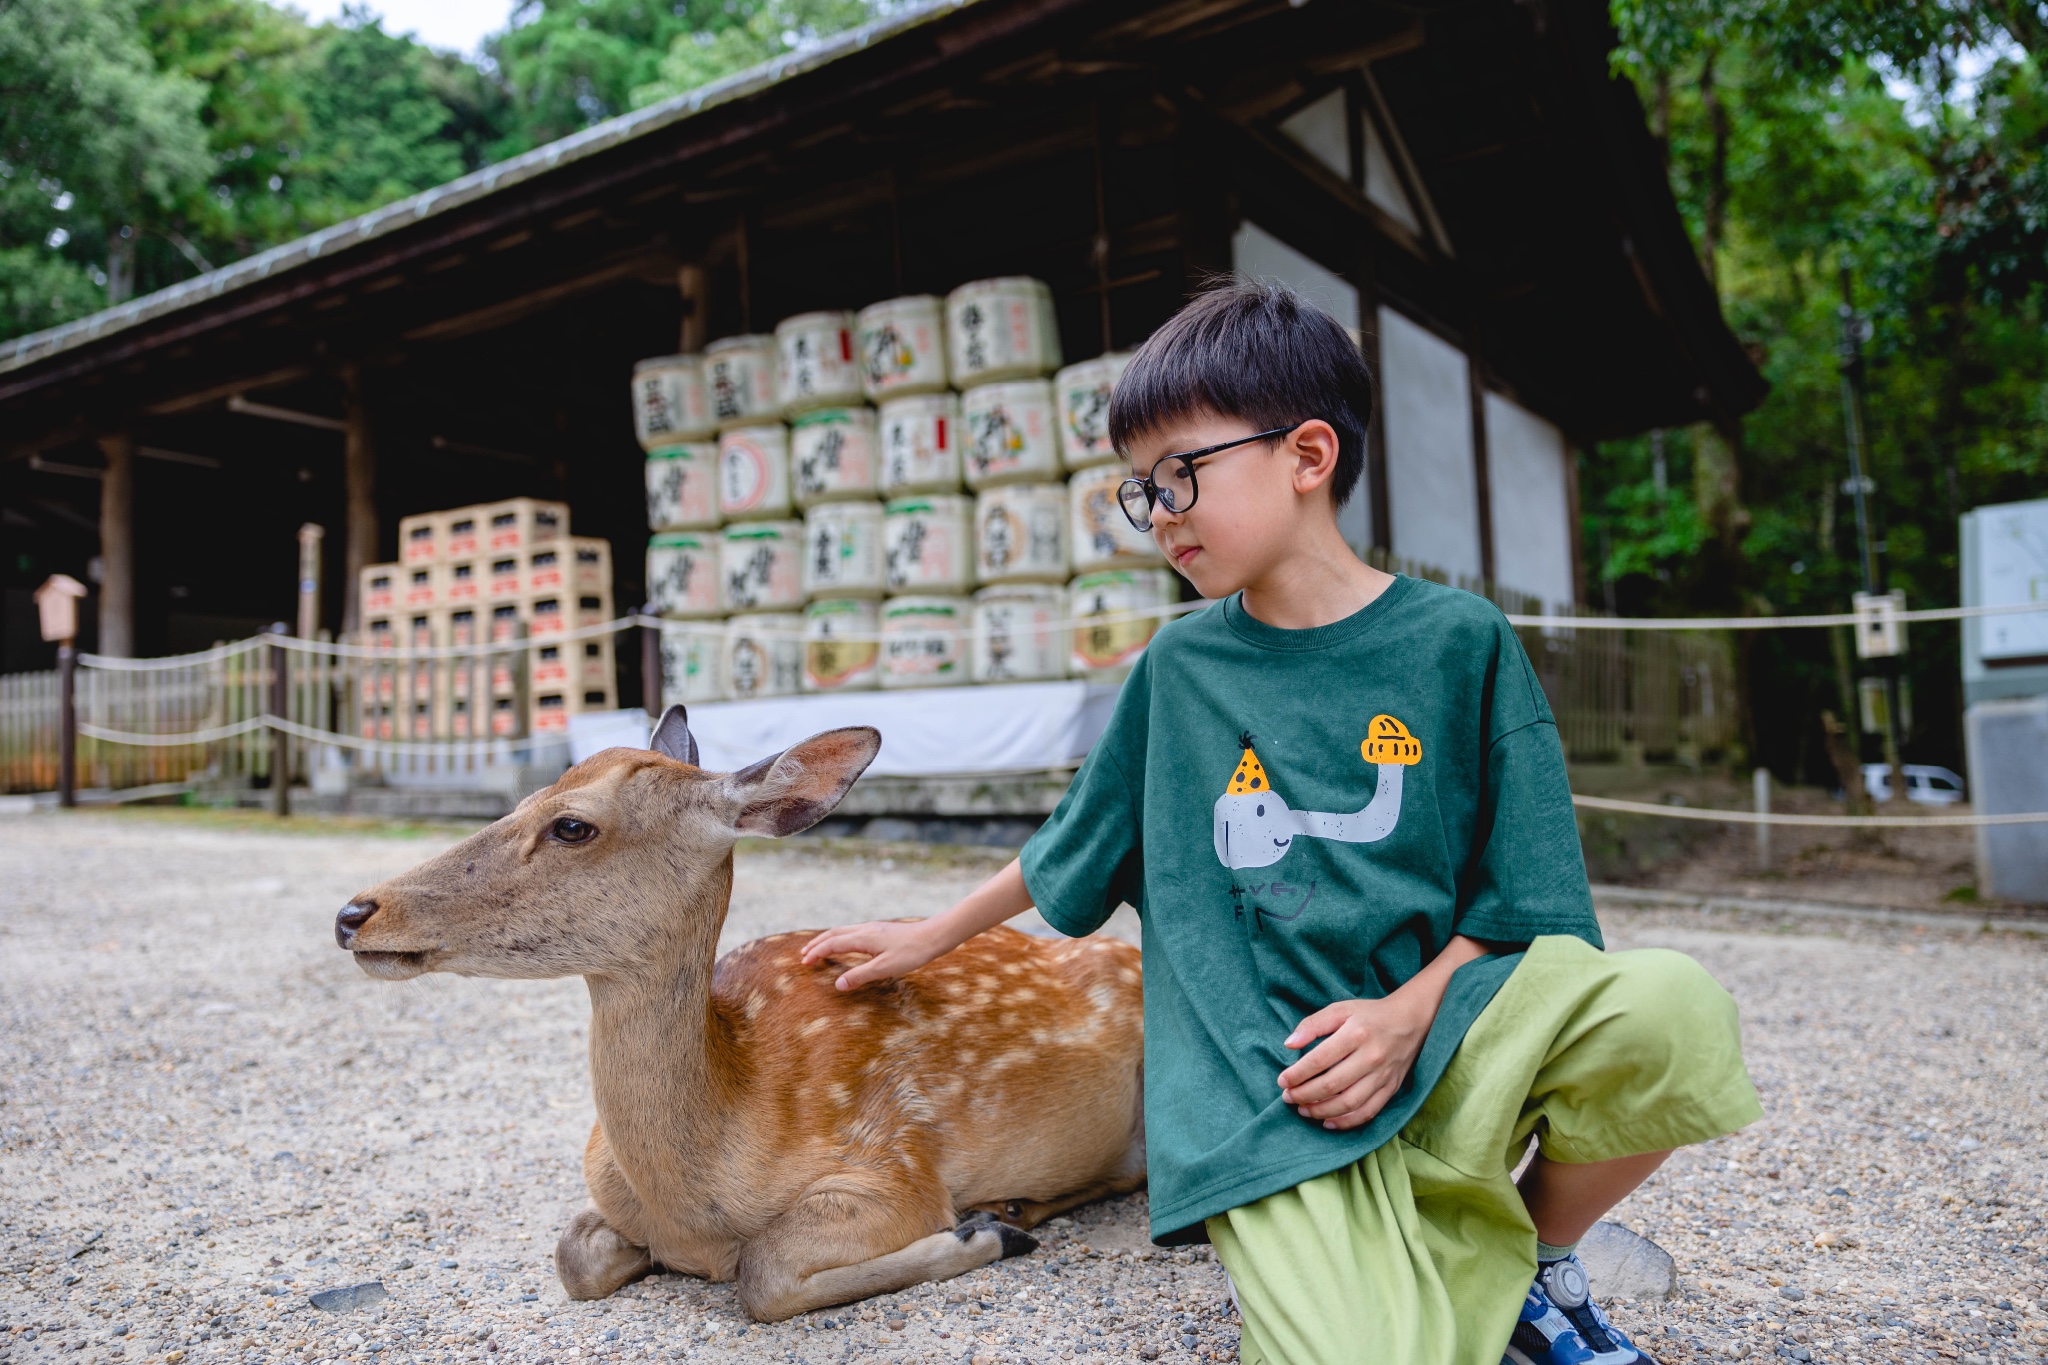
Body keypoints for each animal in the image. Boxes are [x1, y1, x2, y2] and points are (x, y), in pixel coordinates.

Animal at [327, 716, 1146, 1326]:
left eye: (572, 825)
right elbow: (572, 1257)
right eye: (524, 798)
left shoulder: (896, 1164)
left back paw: (1012, 1208)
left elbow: (765, 1271)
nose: (355, 912)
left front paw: (985, 1232)